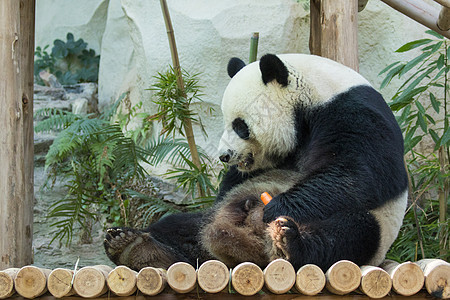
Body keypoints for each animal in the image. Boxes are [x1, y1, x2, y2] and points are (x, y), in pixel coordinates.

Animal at [104, 54, 408, 272]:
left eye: (240, 126)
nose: (224, 156)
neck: (315, 92)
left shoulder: (351, 112)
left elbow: (361, 173)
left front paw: (276, 207)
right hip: (210, 219)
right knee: (181, 226)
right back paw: (134, 247)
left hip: (376, 232)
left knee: (348, 234)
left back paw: (288, 241)